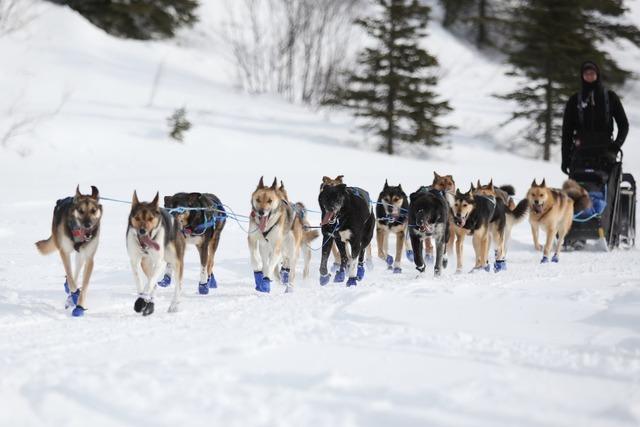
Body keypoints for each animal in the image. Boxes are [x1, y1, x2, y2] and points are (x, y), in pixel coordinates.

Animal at [35, 186, 103, 318]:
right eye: (81, 211)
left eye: (93, 210)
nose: (88, 225)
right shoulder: (64, 252)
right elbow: (70, 278)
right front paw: (75, 294)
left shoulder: (89, 258)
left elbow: (84, 285)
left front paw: (80, 306)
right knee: (71, 276)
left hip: (80, 257)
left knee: (76, 272)